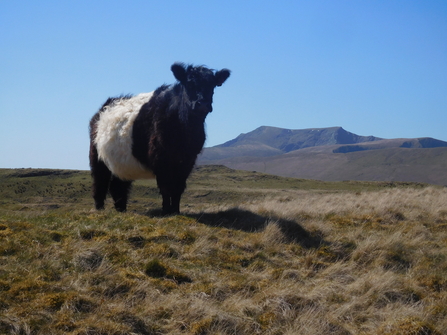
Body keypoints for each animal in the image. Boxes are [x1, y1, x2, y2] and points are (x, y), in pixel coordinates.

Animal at [89, 62, 233, 214]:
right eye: (189, 83)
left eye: (212, 85)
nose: (203, 104)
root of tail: (104, 107)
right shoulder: (160, 159)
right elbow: (166, 188)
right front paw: (166, 211)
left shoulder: (188, 160)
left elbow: (178, 188)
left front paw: (175, 211)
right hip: (97, 157)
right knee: (100, 183)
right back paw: (99, 209)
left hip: (123, 162)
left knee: (118, 186)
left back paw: (121, 210)